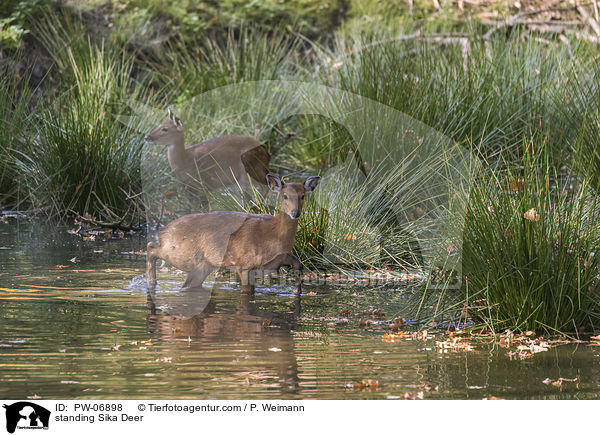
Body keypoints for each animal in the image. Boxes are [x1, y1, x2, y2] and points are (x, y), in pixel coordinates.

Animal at [148, 175, 322, 294]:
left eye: (302, 195)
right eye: (284, 196)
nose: (295, 213)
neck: (271, 235)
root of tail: (164, 231)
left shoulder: (277, 259)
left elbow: (298, 263)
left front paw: (298, 291)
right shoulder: (244, 264)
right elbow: (247, 292)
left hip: (203, 265)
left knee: (187, 283)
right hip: (182, 254)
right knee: (151, 248)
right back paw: (151, 283)